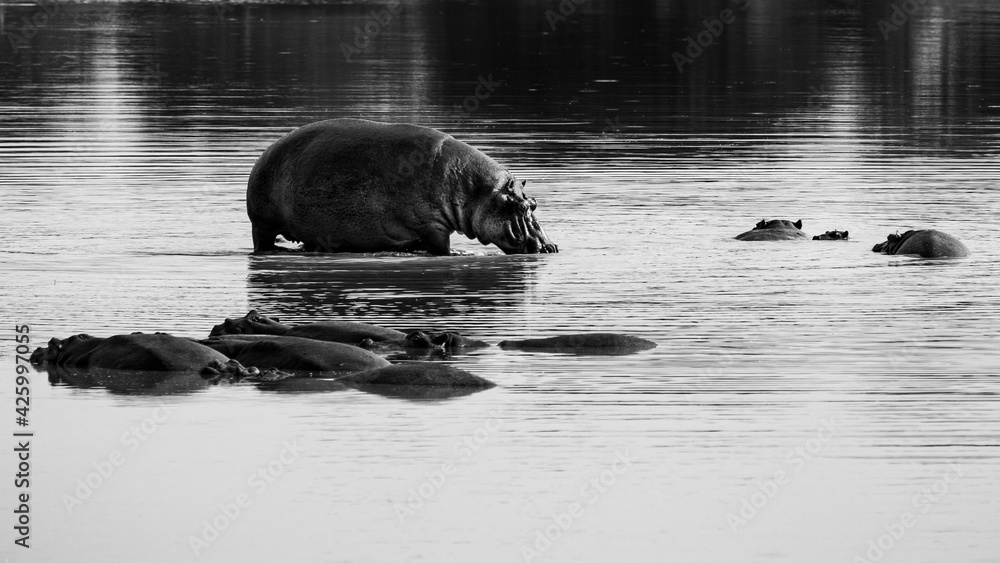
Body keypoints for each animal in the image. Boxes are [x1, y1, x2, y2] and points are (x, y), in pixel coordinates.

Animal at [247, 118, 558, 255]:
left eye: (534, 203)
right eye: (521, 206)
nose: (550, 246)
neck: (475, 192)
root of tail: (265, 152)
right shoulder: (430, 224)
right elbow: (442, 247)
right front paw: (458, 253)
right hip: (262, 222)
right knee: (262, 241)